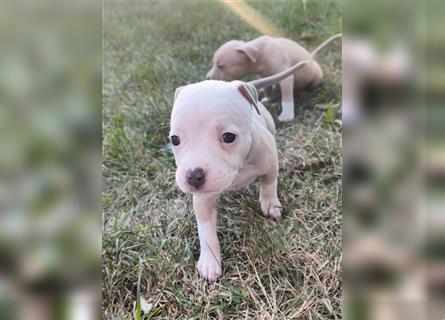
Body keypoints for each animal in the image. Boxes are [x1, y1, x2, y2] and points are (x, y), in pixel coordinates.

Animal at [168, 60, 306, 280]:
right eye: (174, 140)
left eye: (228, 137)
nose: (193, 176)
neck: (239, 169)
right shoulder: (203, 200)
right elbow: (206, 231)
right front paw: (209, 261)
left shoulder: (269, 160)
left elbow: (269, 183)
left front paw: (270, 204)